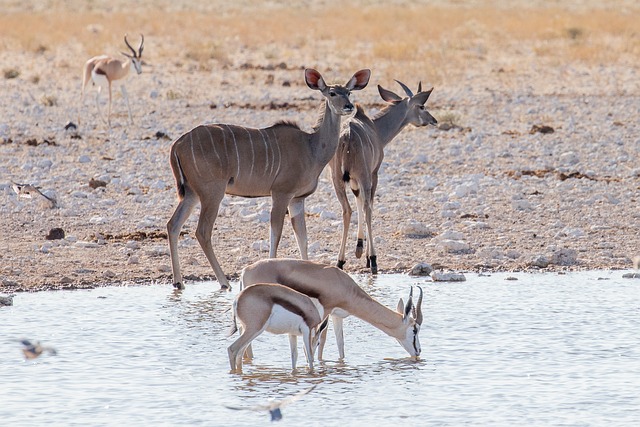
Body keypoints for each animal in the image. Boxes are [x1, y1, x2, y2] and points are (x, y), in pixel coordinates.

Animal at [167, 68, 371, 290]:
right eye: (332, 93)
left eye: (349, 92)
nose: (348, 106)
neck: (311, 147)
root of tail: (178, 143)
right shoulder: (281, 194)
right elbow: (276, 234)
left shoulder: (297, 200)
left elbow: (303, 238)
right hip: (212, 193)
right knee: (202, 231)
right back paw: (224, 283)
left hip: (192, 193)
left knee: (173, 225)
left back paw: (179, 282)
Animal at [240, 258, 423, 361]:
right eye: (415, 329)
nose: (419, 351)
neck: (343, 284)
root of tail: (245, 270)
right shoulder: (325, 311)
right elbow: (319, 341)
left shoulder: (337, 315)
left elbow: (340, 343)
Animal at [330, 81, 437, 274]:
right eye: (422, 106)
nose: (433, 120)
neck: (374, 128)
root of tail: (347, 137)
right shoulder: (373, 174)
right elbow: (368, 206)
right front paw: (366, 256)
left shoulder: (354, 183)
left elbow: (357, 203)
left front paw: (358, 248)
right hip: (365, 177)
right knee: (367, 208)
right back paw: (373, 260)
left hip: (338, 181)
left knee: (347, 210)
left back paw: (340, 261)